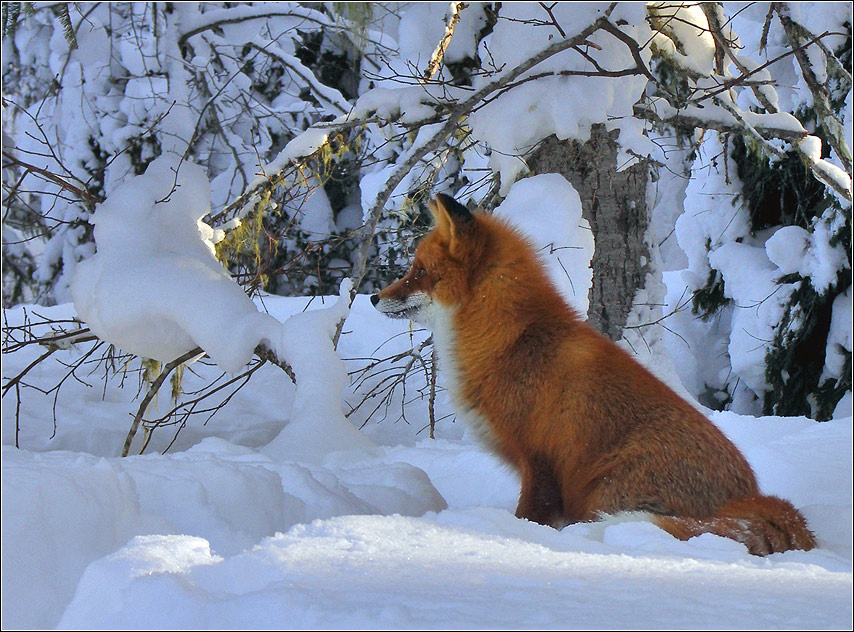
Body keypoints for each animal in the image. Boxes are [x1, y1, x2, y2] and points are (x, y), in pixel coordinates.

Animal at [371, 193, 817, 556]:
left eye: (419, 271)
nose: (375, 297)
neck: (511, 341)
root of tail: (751, 497)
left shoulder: (540, 462)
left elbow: (527, 518)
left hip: (604, 489)